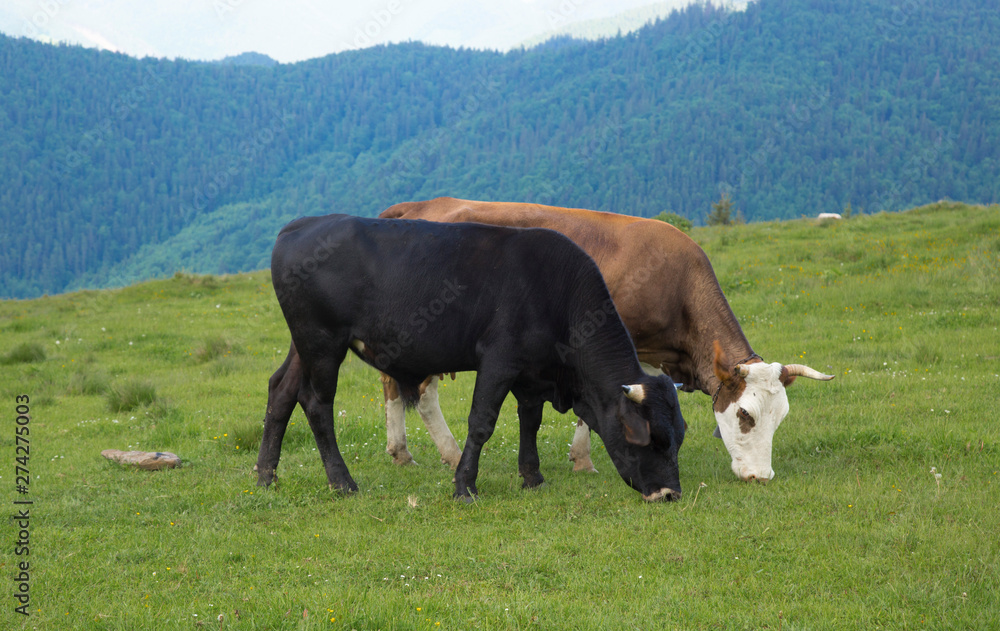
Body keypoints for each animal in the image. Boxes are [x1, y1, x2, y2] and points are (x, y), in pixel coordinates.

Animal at [256, 213, 687, 502]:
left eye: (678, 437)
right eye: (654, 440)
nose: (669, 494)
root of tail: (301, 224)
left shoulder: (532, 371)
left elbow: (530, 421)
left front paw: (532, 477)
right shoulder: (499, 359)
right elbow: (482, 422)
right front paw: (465, 485)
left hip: (302, 345)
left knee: (281, 391)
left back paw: (266, 476)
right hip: (322, 342)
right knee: (316, 403)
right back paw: (342, 482)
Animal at [376, 197, 834, 482]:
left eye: (780, 418)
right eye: (744, 415)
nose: (762, 476)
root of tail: (420, 206)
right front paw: (584, 460)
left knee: (393, 385)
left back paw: (401, 452)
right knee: (422, 393)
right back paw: (449, 453)